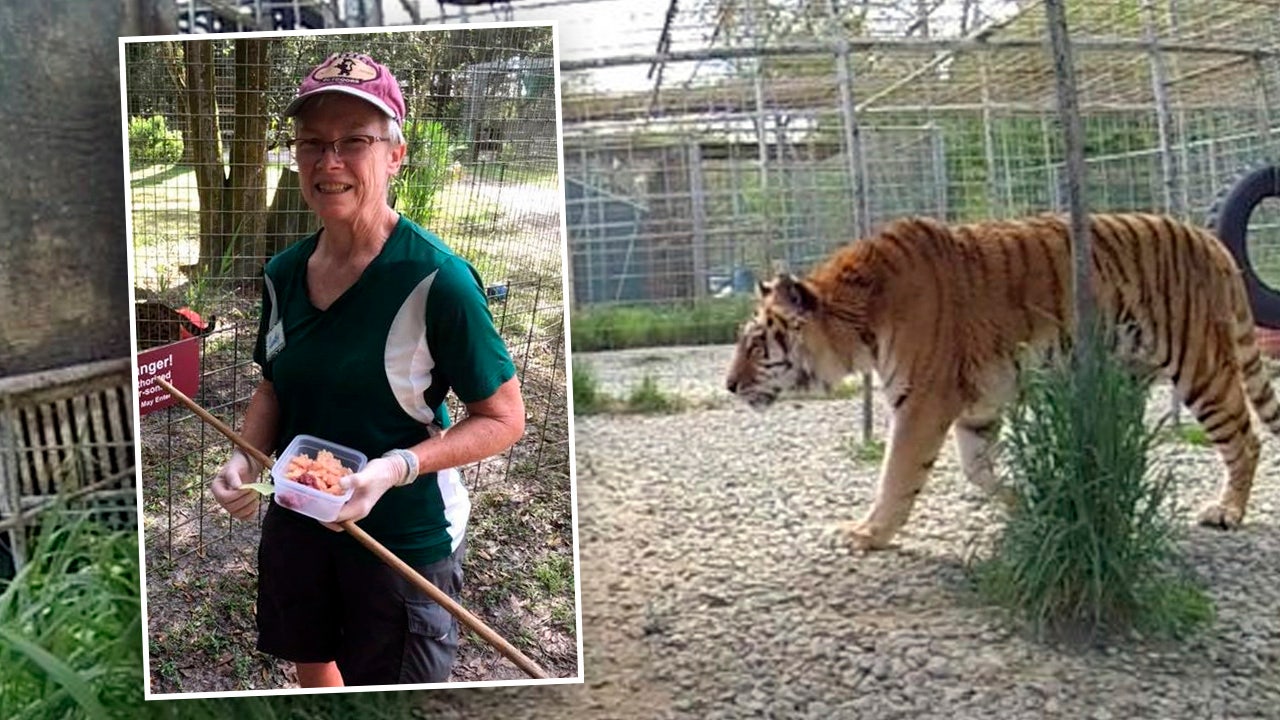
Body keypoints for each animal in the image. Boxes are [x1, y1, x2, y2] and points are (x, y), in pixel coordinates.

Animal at [732, 212, 1280, 548]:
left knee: (1246, 439)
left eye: (757, 344)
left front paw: (867, 534)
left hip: (1201, 367)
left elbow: (897, 474)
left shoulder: (922, 403)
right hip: (1127, 378)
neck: (859, 319)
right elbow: (978, 469)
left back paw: (1227, 512)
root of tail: (1211, 240)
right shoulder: (977, 406)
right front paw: (1029, 503)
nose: (729, 386)